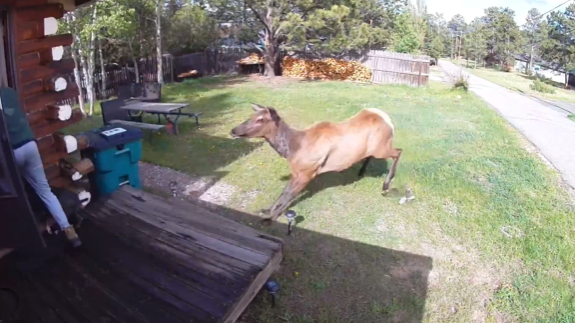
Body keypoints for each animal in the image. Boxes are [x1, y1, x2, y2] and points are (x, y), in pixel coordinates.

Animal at [232, 104, 402, 223]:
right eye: (252, 115)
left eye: (260, 119)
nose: (233, 130)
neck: (292, 150)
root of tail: (388, 120)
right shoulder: (297, 172)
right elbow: (284, 192)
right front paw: (267, 210)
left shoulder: (307, 172)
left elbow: (289, 194)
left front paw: (270, 218)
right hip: (374, 148)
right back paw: (361, 172)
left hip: (382, 147)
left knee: (398, 151)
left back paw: (386, 185)